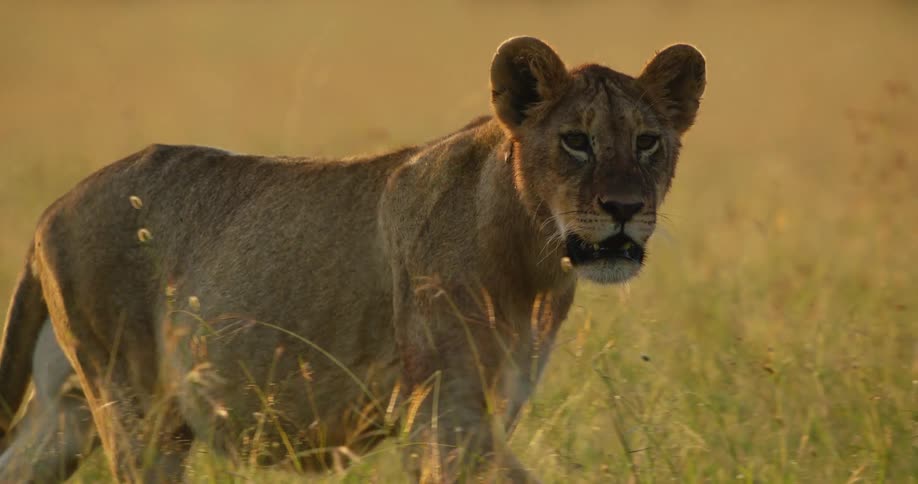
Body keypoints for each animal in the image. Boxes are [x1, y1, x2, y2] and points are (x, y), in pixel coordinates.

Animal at [0, 36, 704, 482]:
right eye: (576, 141)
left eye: (648, 142)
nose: (624, 207)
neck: (533, 262)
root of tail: (49, 211)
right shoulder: (442, 415)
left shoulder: (486, 410)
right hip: (139, 411)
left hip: (66, 414)